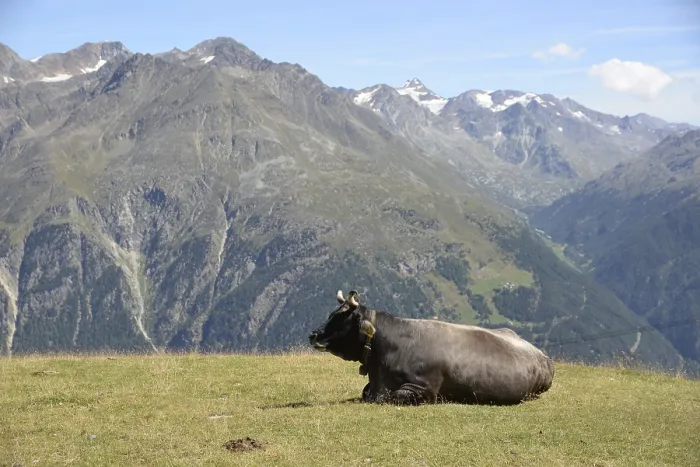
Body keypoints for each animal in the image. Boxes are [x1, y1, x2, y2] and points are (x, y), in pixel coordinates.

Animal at [308, 289, 555, 406]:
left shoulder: (424, 388)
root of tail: (543, 356)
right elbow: (365, 392)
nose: (313, 334)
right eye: (332, 314)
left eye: (341, 318)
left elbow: (393, 397)